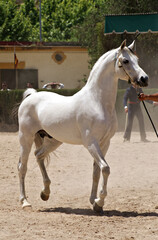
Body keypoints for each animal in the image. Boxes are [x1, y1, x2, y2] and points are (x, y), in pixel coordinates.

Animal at [18, 40, 148, 213]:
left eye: (137, 60)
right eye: (126, 61)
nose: (144, 79)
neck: (97, 102)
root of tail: (31, 96)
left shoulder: (104, 143)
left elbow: (97, 171)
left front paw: (94, 201)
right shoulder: (91, 143)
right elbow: (105, 168)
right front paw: (100, 201)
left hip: (53, 140)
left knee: (39, 155)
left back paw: (45, 193)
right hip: (25, 138)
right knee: (22, 167)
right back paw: (25, 202)